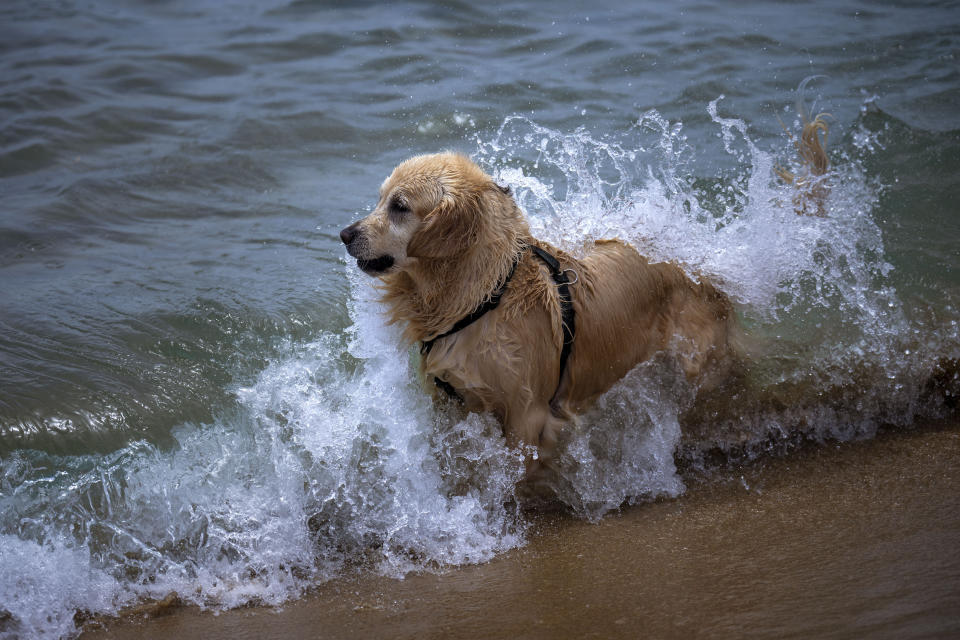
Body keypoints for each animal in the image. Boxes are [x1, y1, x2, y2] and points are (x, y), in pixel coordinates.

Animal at [342, 152, 740, 472]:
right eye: (380, 199)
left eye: (400, 206)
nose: (345, 234)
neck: (482, 296)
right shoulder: (446, 400)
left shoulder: (527, 414)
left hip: (701, 365)